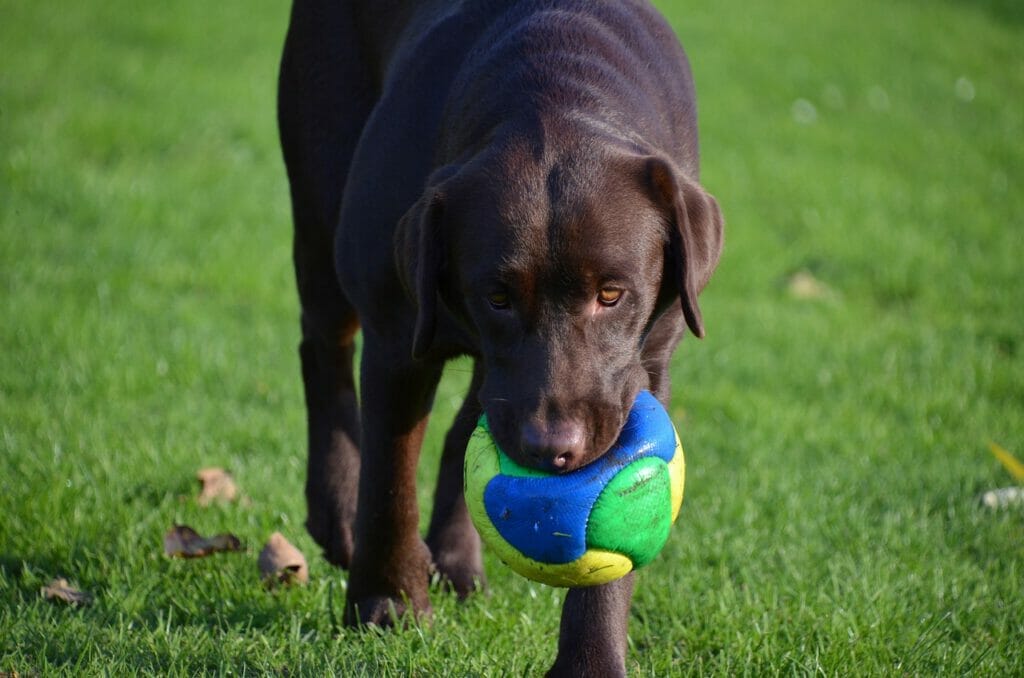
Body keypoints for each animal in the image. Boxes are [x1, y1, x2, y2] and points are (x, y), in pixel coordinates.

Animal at [276, 0, 724, 675]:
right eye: (498, 297)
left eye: (611, 294)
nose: (551, 449)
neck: (557, 91)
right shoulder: (396, 335)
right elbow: (388, 482)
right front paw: (386, 604)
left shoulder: (647, 363)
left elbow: (613, 554)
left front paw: (591, 660)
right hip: (322, 198)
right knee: (322, 344)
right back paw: (336, 507)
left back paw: (456, 556)